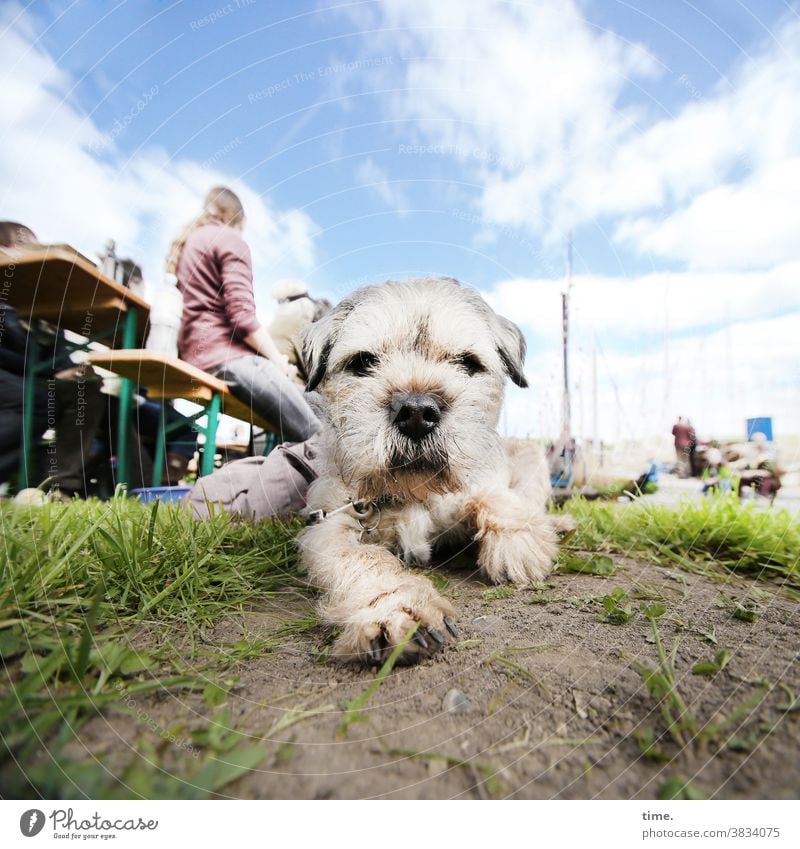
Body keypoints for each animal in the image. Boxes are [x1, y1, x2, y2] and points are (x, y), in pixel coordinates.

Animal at [300, 276, 564, 664]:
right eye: (362, 362)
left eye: (468, 363)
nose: (416, 412)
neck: (414, 492)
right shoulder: (330, 524)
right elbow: (362, 557)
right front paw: (396, 608)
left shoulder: (476, 485)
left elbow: (495, 497)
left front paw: (518, 543)